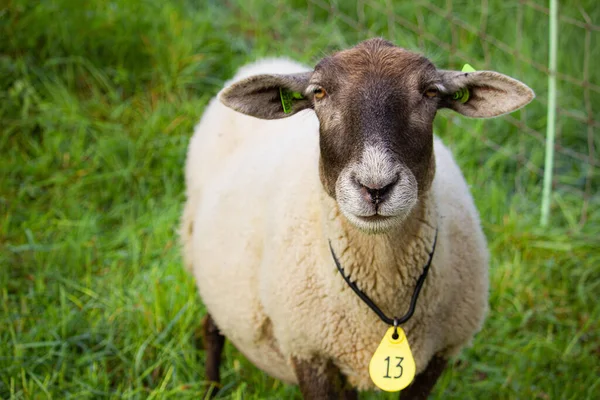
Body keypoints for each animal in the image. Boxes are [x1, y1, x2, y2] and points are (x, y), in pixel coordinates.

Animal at [179, 38, 536, 400]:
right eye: (319, 92)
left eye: (431, 92)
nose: (375, 187)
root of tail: (263, 62)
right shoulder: (309, 352)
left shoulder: (437, 356)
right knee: (211, 328)